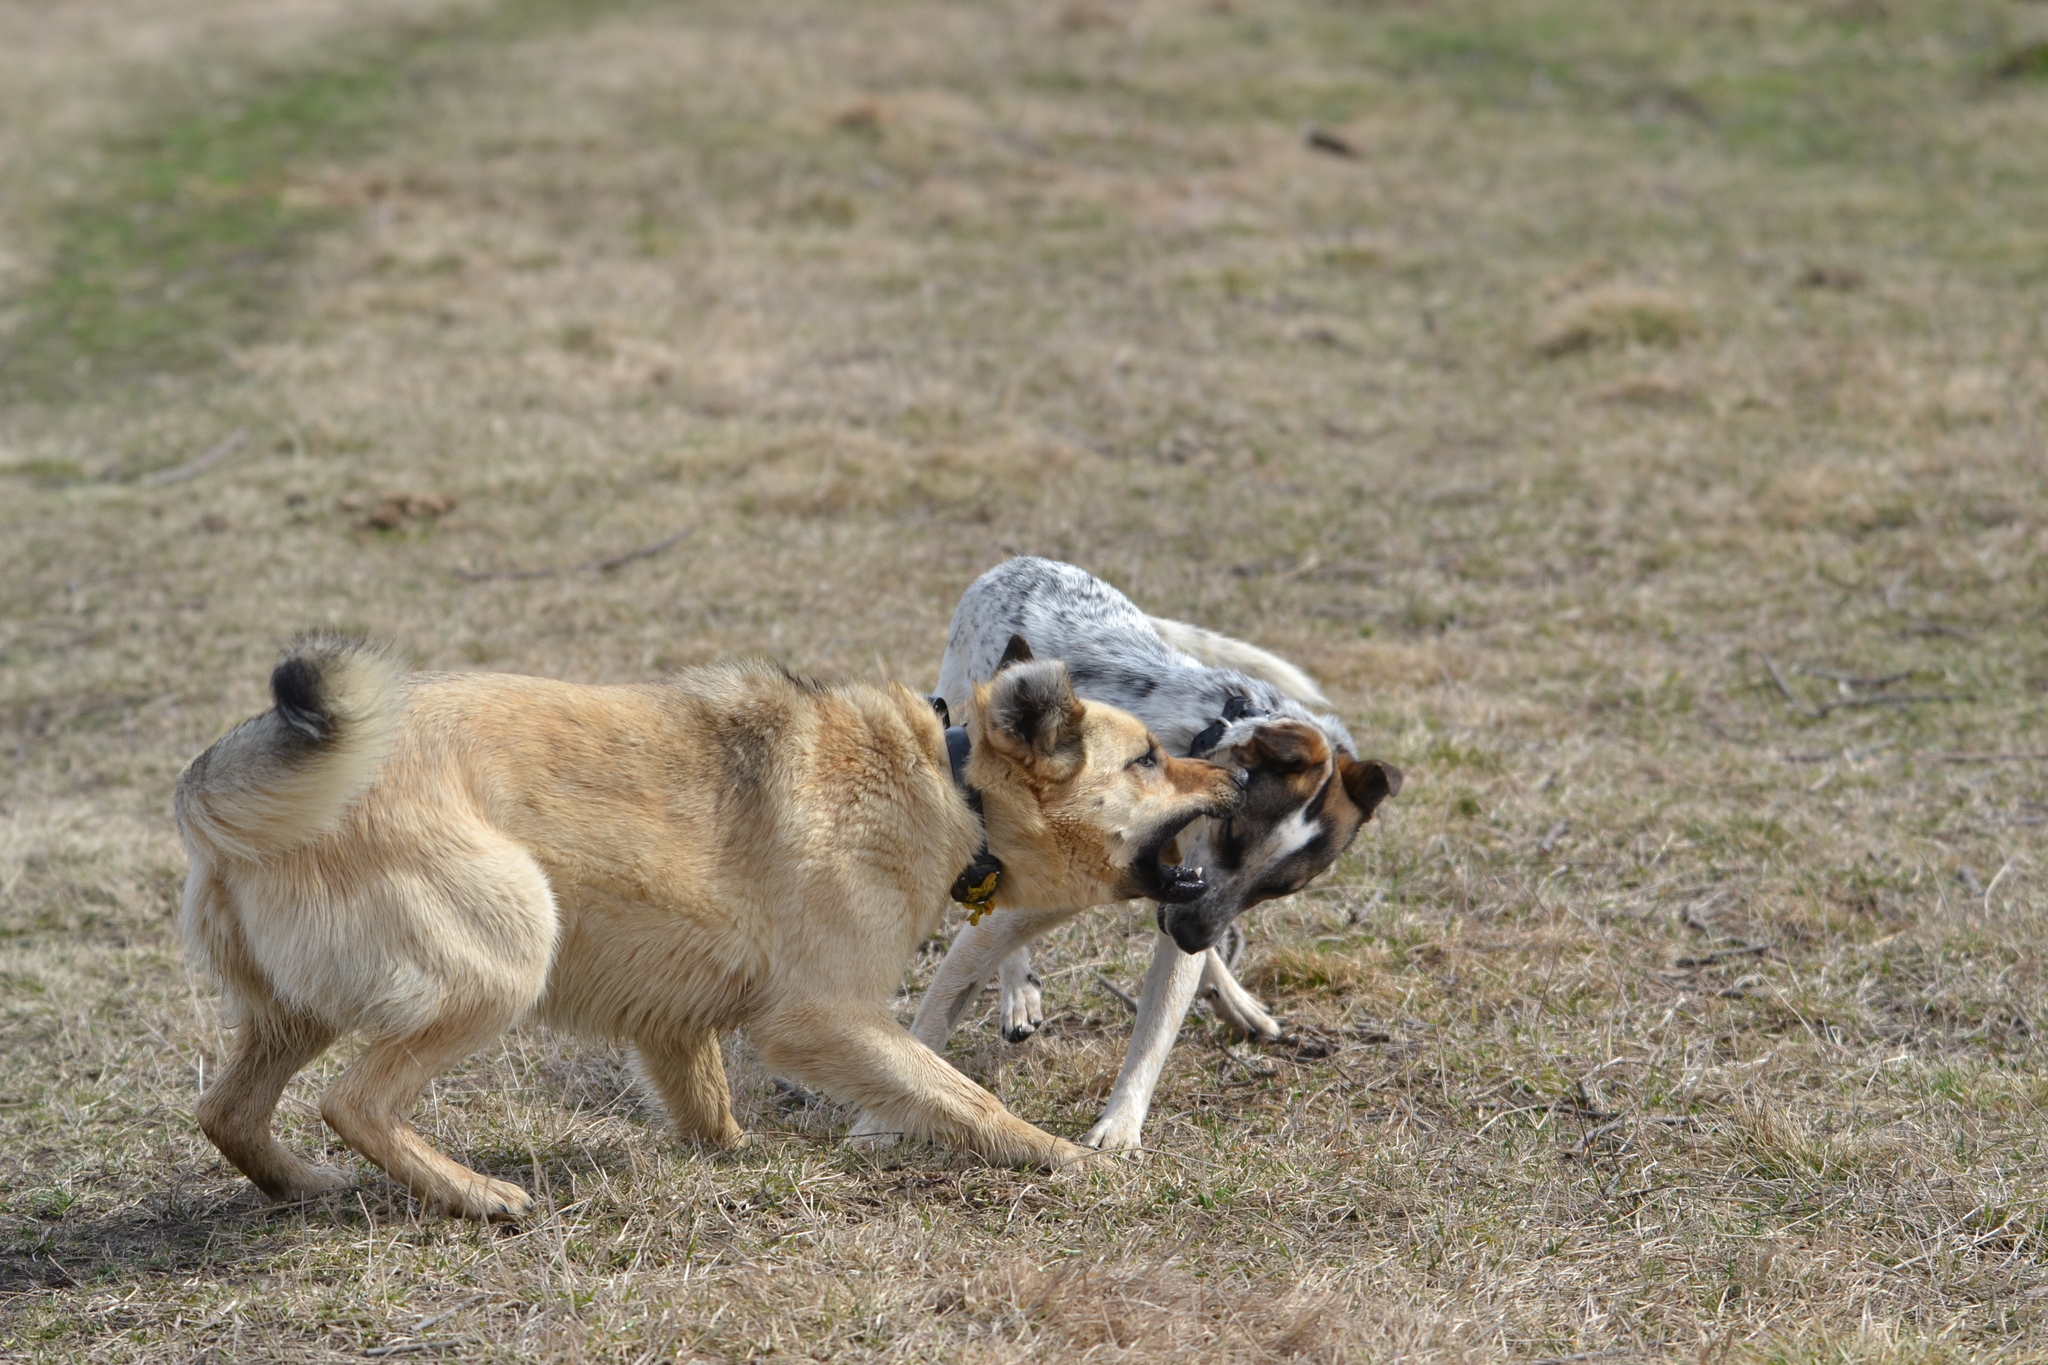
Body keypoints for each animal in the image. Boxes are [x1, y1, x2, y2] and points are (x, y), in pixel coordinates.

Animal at [176, 634, 1228, 1219]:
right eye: (1147, 758)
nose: (1231, 768)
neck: (955, 780)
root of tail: (221, 799)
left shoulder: (673, 1020)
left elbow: (709, 1107)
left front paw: (739, 1158)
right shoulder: (822, 1019)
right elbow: (964, 1097)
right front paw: (1065, 1159)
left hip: (296, 1010)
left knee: (229, 1109)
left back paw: (304, 1187)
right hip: (506, 953)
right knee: (355, 1101)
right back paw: (473, 1194)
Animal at [876, 556, 1392, 1154]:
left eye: (1279, 889)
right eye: (1231, 835)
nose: (1192, 936)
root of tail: (1020, 562)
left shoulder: (1188, 900)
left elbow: (1157, 1028)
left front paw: (1121, 1126)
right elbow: (941, 1009)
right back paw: (1019, 990)